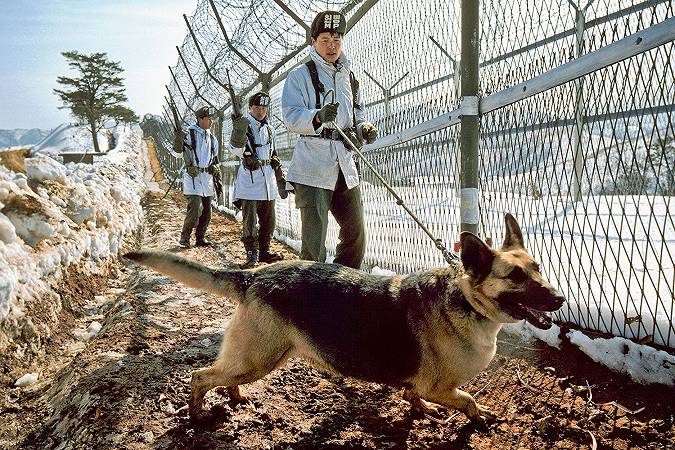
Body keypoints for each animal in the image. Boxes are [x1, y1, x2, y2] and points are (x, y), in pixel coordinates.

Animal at [125, 214, 564, 426]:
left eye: (538, 269)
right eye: (515, 277)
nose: (560, 299)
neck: (467, 301)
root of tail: (255, 274)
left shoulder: (421, 384)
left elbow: (412, 395)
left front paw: (420, 410)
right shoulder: (442, 386)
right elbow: (469, 399)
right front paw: (476, 417)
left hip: (254, 358)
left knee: (224, 375)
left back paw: (235, 397)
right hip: (258, 358)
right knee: (200, 376)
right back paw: (198, 416)